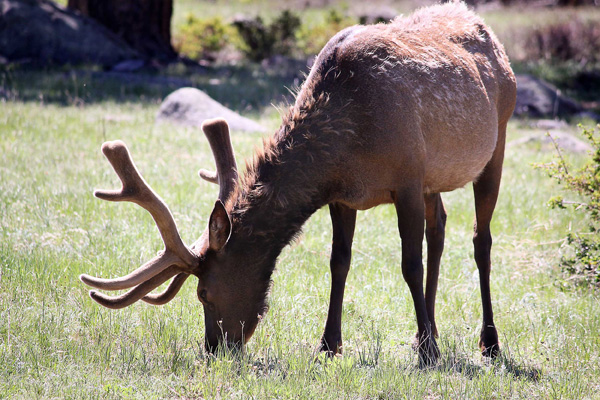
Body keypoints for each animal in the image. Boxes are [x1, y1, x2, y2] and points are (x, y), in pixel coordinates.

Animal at [79, 2, 516, 366]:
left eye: (203, 292)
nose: (214, 348)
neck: (348, 140)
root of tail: (490, 34)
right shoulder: (345, 195)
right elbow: (339, 262)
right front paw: (329, 343)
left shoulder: (407, 176)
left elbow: (410, 263)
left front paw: (428, 354)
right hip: (435, 177)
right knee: (439, 227)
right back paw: (429, 331)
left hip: (497, 139)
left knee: (480, 240)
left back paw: (487, 342)